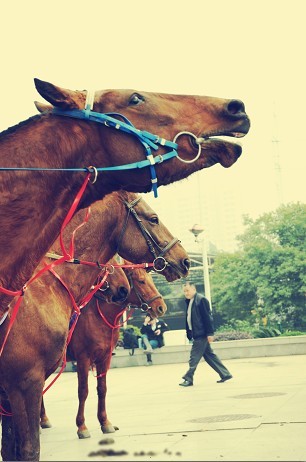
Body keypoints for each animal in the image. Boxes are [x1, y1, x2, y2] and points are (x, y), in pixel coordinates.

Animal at [40, 264, 165, 436]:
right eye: (141, 281)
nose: (161, 307)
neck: (98, 316)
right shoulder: (83, 359)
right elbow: (83, 391)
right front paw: (81, 425)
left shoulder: (104, 358)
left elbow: (102, 389)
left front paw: (105, 422)